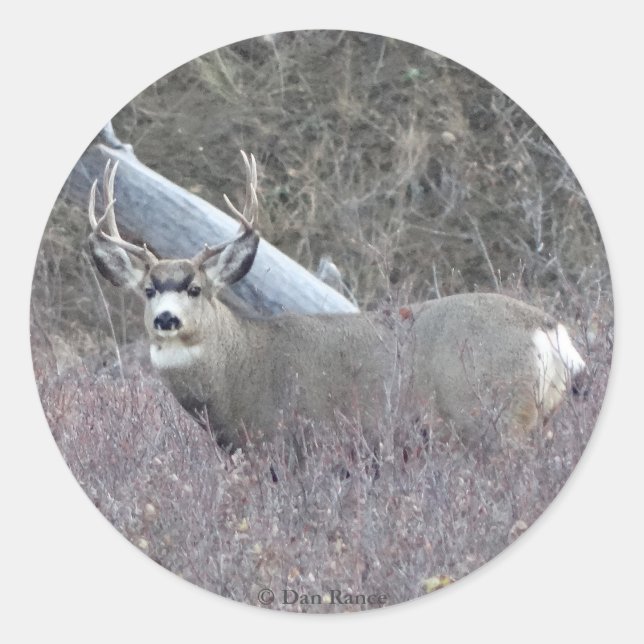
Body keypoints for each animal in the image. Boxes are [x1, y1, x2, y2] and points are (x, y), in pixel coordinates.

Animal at [87, 151, 586, 454]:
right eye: (148, 290)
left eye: (195, 288)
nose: (166, 319)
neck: (240, 371)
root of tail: (549, 330)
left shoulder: (289, 444)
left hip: (493, 419)